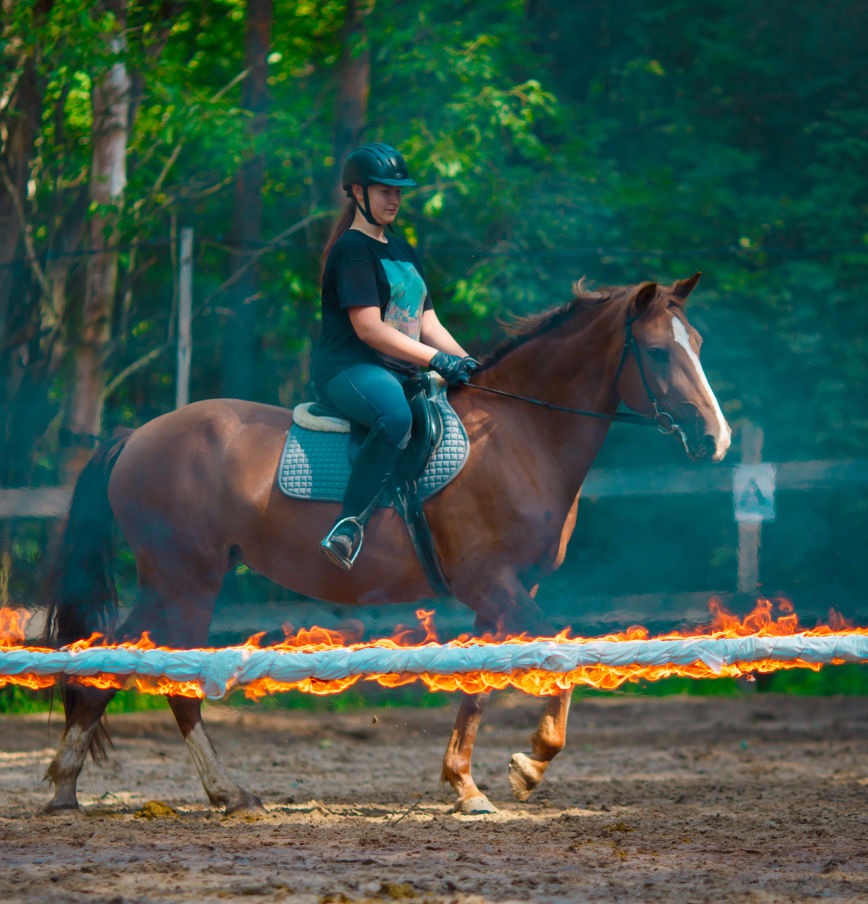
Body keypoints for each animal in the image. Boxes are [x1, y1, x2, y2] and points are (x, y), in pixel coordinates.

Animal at [42, 272, 732, 816]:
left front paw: (464, 785)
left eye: (698, 346)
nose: (716, 438)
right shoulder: (498, 586)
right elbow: (562, 660)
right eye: (657, 353)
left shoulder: (500, 594)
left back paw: (77, 788)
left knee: (113, 667)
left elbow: (478, 685)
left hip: (173, 583)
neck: (518, 435)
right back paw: (211, 793)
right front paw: (530, 764)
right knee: (159, 678)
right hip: (183, 581)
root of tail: (135, 436)